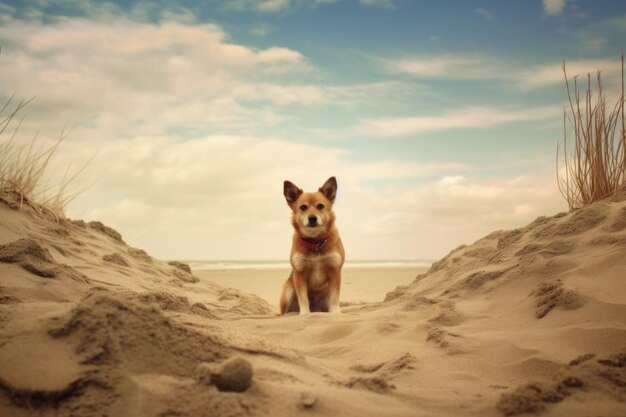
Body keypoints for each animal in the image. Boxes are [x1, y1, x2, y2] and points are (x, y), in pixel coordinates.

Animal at [280, 176, 344, 316]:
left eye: (320, 206)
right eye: (303, 207)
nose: (312, 218)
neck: (315, 243)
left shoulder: (334, 271)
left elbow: (335, 298)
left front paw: (336, 313)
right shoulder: (299, 273)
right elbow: (303, 299)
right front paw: (304, 315)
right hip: (288, 291)